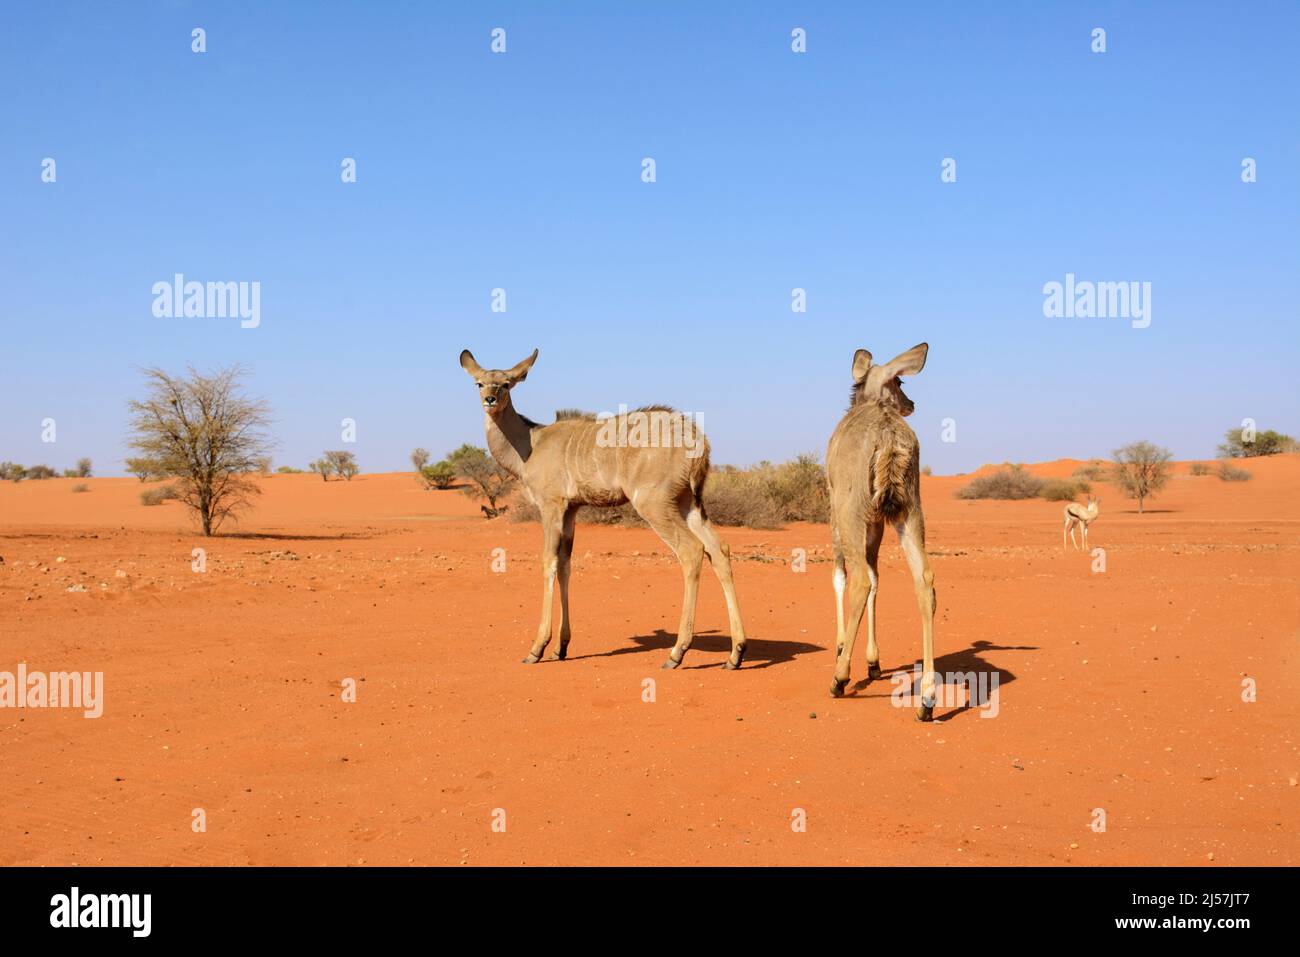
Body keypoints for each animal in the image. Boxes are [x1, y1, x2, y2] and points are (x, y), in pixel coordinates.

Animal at [460, 348, 748, 670]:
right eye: (479, 383)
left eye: (506, 384)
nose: (490, 400)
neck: (530, 444)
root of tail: (697, 438)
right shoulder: (572, 510)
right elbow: (565, 565)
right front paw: (561, 648)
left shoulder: (551, 505)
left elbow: (548, 562)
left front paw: (537, 648)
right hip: (689, 503)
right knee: (719, 550)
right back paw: (735, 653)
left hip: (654, 504)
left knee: (691, 550)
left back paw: (677, 652)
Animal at [826, 340, 941, 722]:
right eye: (900, 383)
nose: (911, 404)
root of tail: (888, 437)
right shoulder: (878, 521)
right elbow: (879, 578)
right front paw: (874, 662)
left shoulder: (835, 508)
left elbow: (843, 576)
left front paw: (844, 647)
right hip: (911, 510)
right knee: (924, 579)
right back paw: (926, 701)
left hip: (851, 511)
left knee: (859, 578)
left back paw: (839, 678)